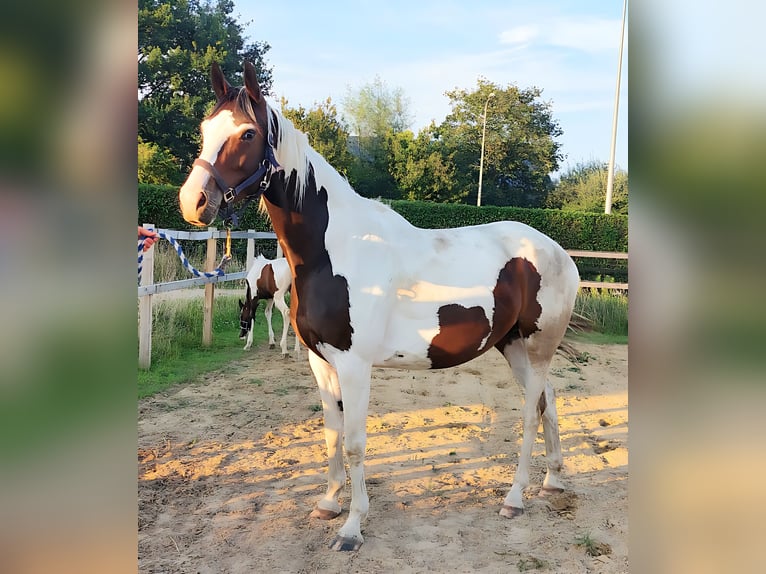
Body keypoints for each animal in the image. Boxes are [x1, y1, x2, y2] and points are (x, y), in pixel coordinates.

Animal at [177, 62, 580, 552]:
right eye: (204, 129)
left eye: (248, 133)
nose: (193, 201)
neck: (334, 250)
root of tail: (559, 254)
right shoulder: (321, 361)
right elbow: (330, 434)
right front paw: (328, 503)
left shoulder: (354, 365)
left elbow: (354, 442)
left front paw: (352, 527)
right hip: (515, 346)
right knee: (547, 403)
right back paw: (553, 481)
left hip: (538, 349)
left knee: (529, 414)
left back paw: (516, 497)